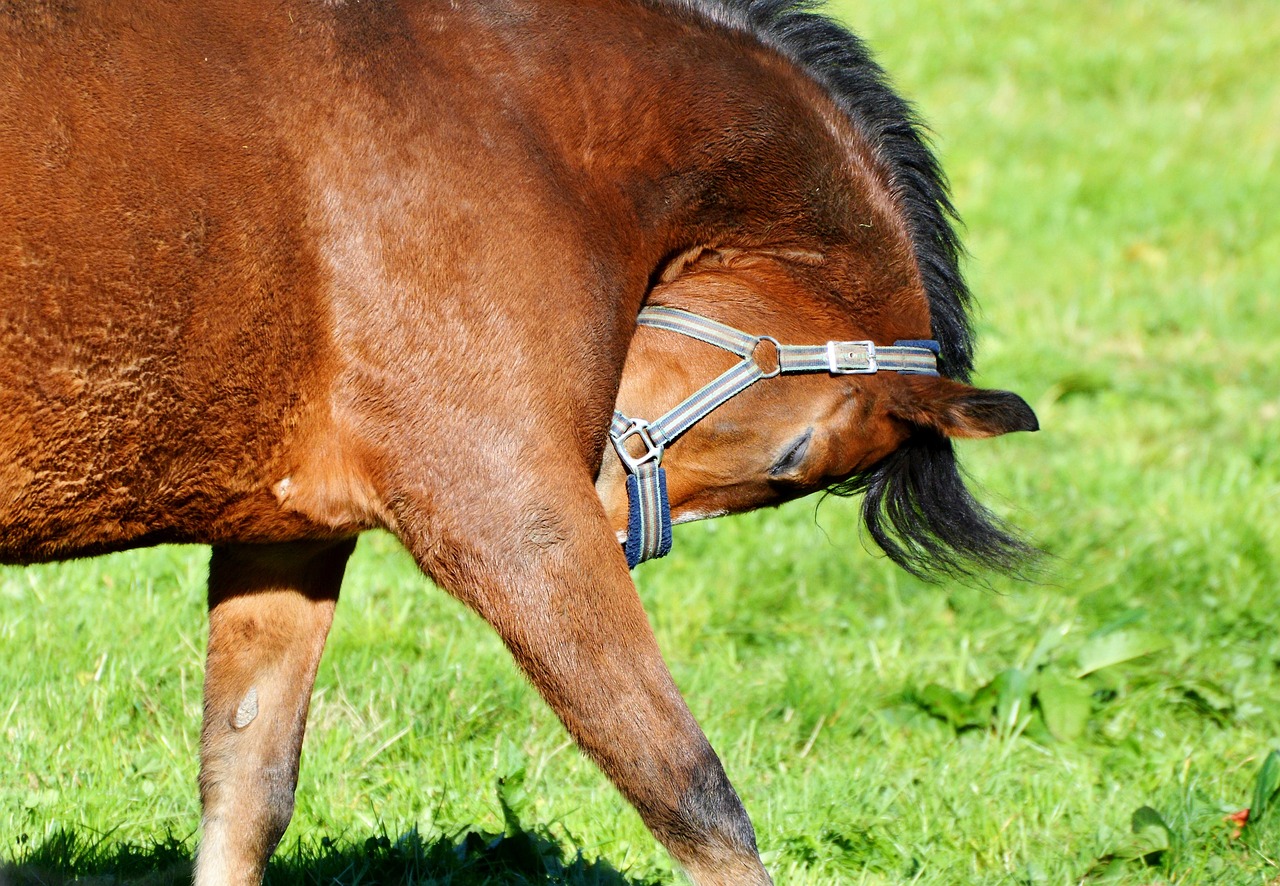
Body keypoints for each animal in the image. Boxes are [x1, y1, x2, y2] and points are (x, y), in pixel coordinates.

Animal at [0, 1, 1034, 886]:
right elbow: (689, 792)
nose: (619, 524)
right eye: (795, 455)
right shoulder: (512, 518)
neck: (523, 122)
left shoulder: (287, 535)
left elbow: (245, 788)